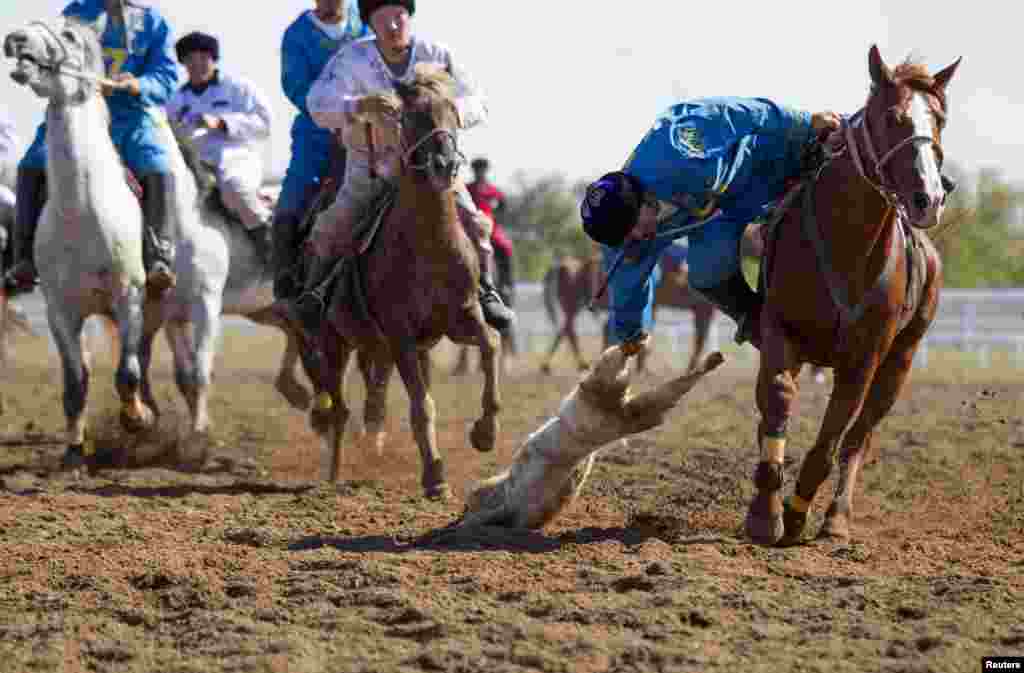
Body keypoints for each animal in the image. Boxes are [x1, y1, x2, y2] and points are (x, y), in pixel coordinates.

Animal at [4, 17, 307, 467]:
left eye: (69, 36)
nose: (16, 39)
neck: (83, 211)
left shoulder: (159, 301)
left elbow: (159, 373)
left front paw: (167, 429)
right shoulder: (66, 308)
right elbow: (79, 380)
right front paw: (76, 450)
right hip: (264, 310)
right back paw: (301, 393)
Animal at [294, 68, 501, 497]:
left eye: (452, 110)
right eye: (412, 115)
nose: (443, 164)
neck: (429, 247)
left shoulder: (461, 317)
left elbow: (491, 343)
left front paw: (485, 432)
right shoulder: (400, 333)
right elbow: (422, 405)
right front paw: (435, 476)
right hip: (335, 342)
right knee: (339, 408)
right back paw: (334, 473)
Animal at [745, 45, 958, 544]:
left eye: (940, 118)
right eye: (892, 117)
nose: (929, 197)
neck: (847, 242)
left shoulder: (865, 359)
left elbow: (834, 438)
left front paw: (798, 511)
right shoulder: (780, 330)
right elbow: (777, 398)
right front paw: (765, 512)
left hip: (899, 362)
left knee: (860, 436)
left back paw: (836, 517)